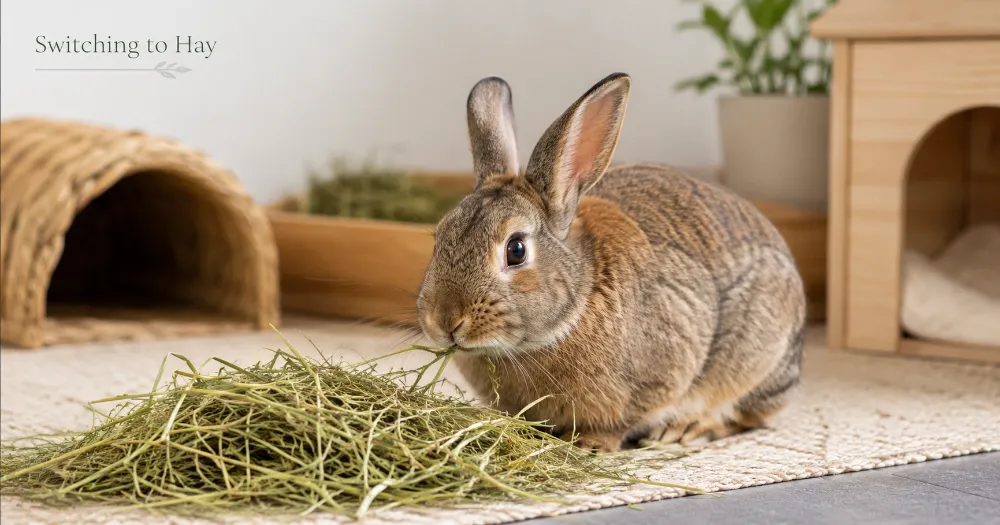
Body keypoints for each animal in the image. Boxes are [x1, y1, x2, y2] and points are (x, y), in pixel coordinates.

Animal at [416, 72, 807, 453]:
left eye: (516, 250)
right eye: (440, 237)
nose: (445, 321)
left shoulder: (658, 375)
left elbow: (621, 422)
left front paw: (590, 444)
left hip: (755, 358)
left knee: (743, 414)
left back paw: (684, 429)